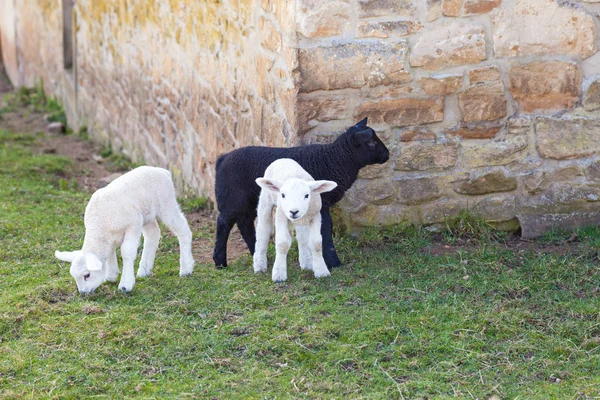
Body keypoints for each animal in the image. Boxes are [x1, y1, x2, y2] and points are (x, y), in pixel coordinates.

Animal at [54, 166, 193, 294]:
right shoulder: (111, 235)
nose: (83, 293)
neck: (100, 225)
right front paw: (111, 276)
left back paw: (186, 268)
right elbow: (110, 252)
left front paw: (125, 285)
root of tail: (162, 171)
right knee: (153, 234)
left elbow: (127, 252)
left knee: (182, 228)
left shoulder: (133, 224)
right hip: (146, 214)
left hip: (166, 203)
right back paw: (144, 270)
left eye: (87, 275)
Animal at [213, 118, 392, 268]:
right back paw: (220, 262)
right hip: (232, 197)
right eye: (370, 142)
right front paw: (333, 263)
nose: (387, 154)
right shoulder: (322, 204)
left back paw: (257, 255)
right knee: (223, 223)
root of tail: (223, 158)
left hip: (248, 200)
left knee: (245, 223)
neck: (333, 160)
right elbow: (325, 229)